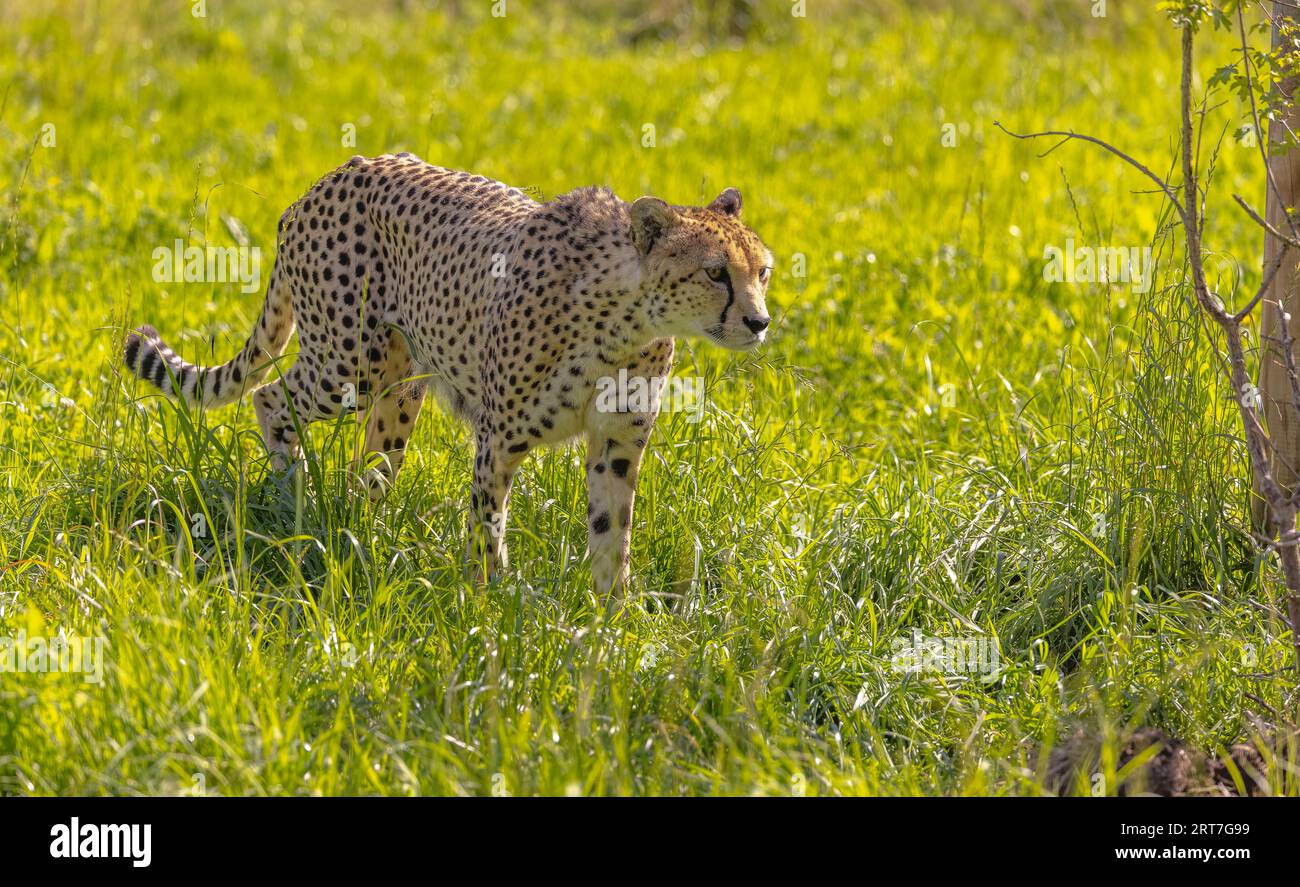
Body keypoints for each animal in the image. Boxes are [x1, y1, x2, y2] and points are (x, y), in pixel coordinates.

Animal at [124, 152, 769, 593]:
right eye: (715, 273)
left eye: (761, 270)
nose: (760, 321)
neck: (624, 319)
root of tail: (338, 172)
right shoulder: (498, 438)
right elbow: (487, 528)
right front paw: (490, 608)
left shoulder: (617, 440)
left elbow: (614, 531)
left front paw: (613, 625)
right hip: (347, 362)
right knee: (270, 397)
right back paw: (297, 499)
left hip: (398, 385)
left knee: (370, 464)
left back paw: (357, 529)